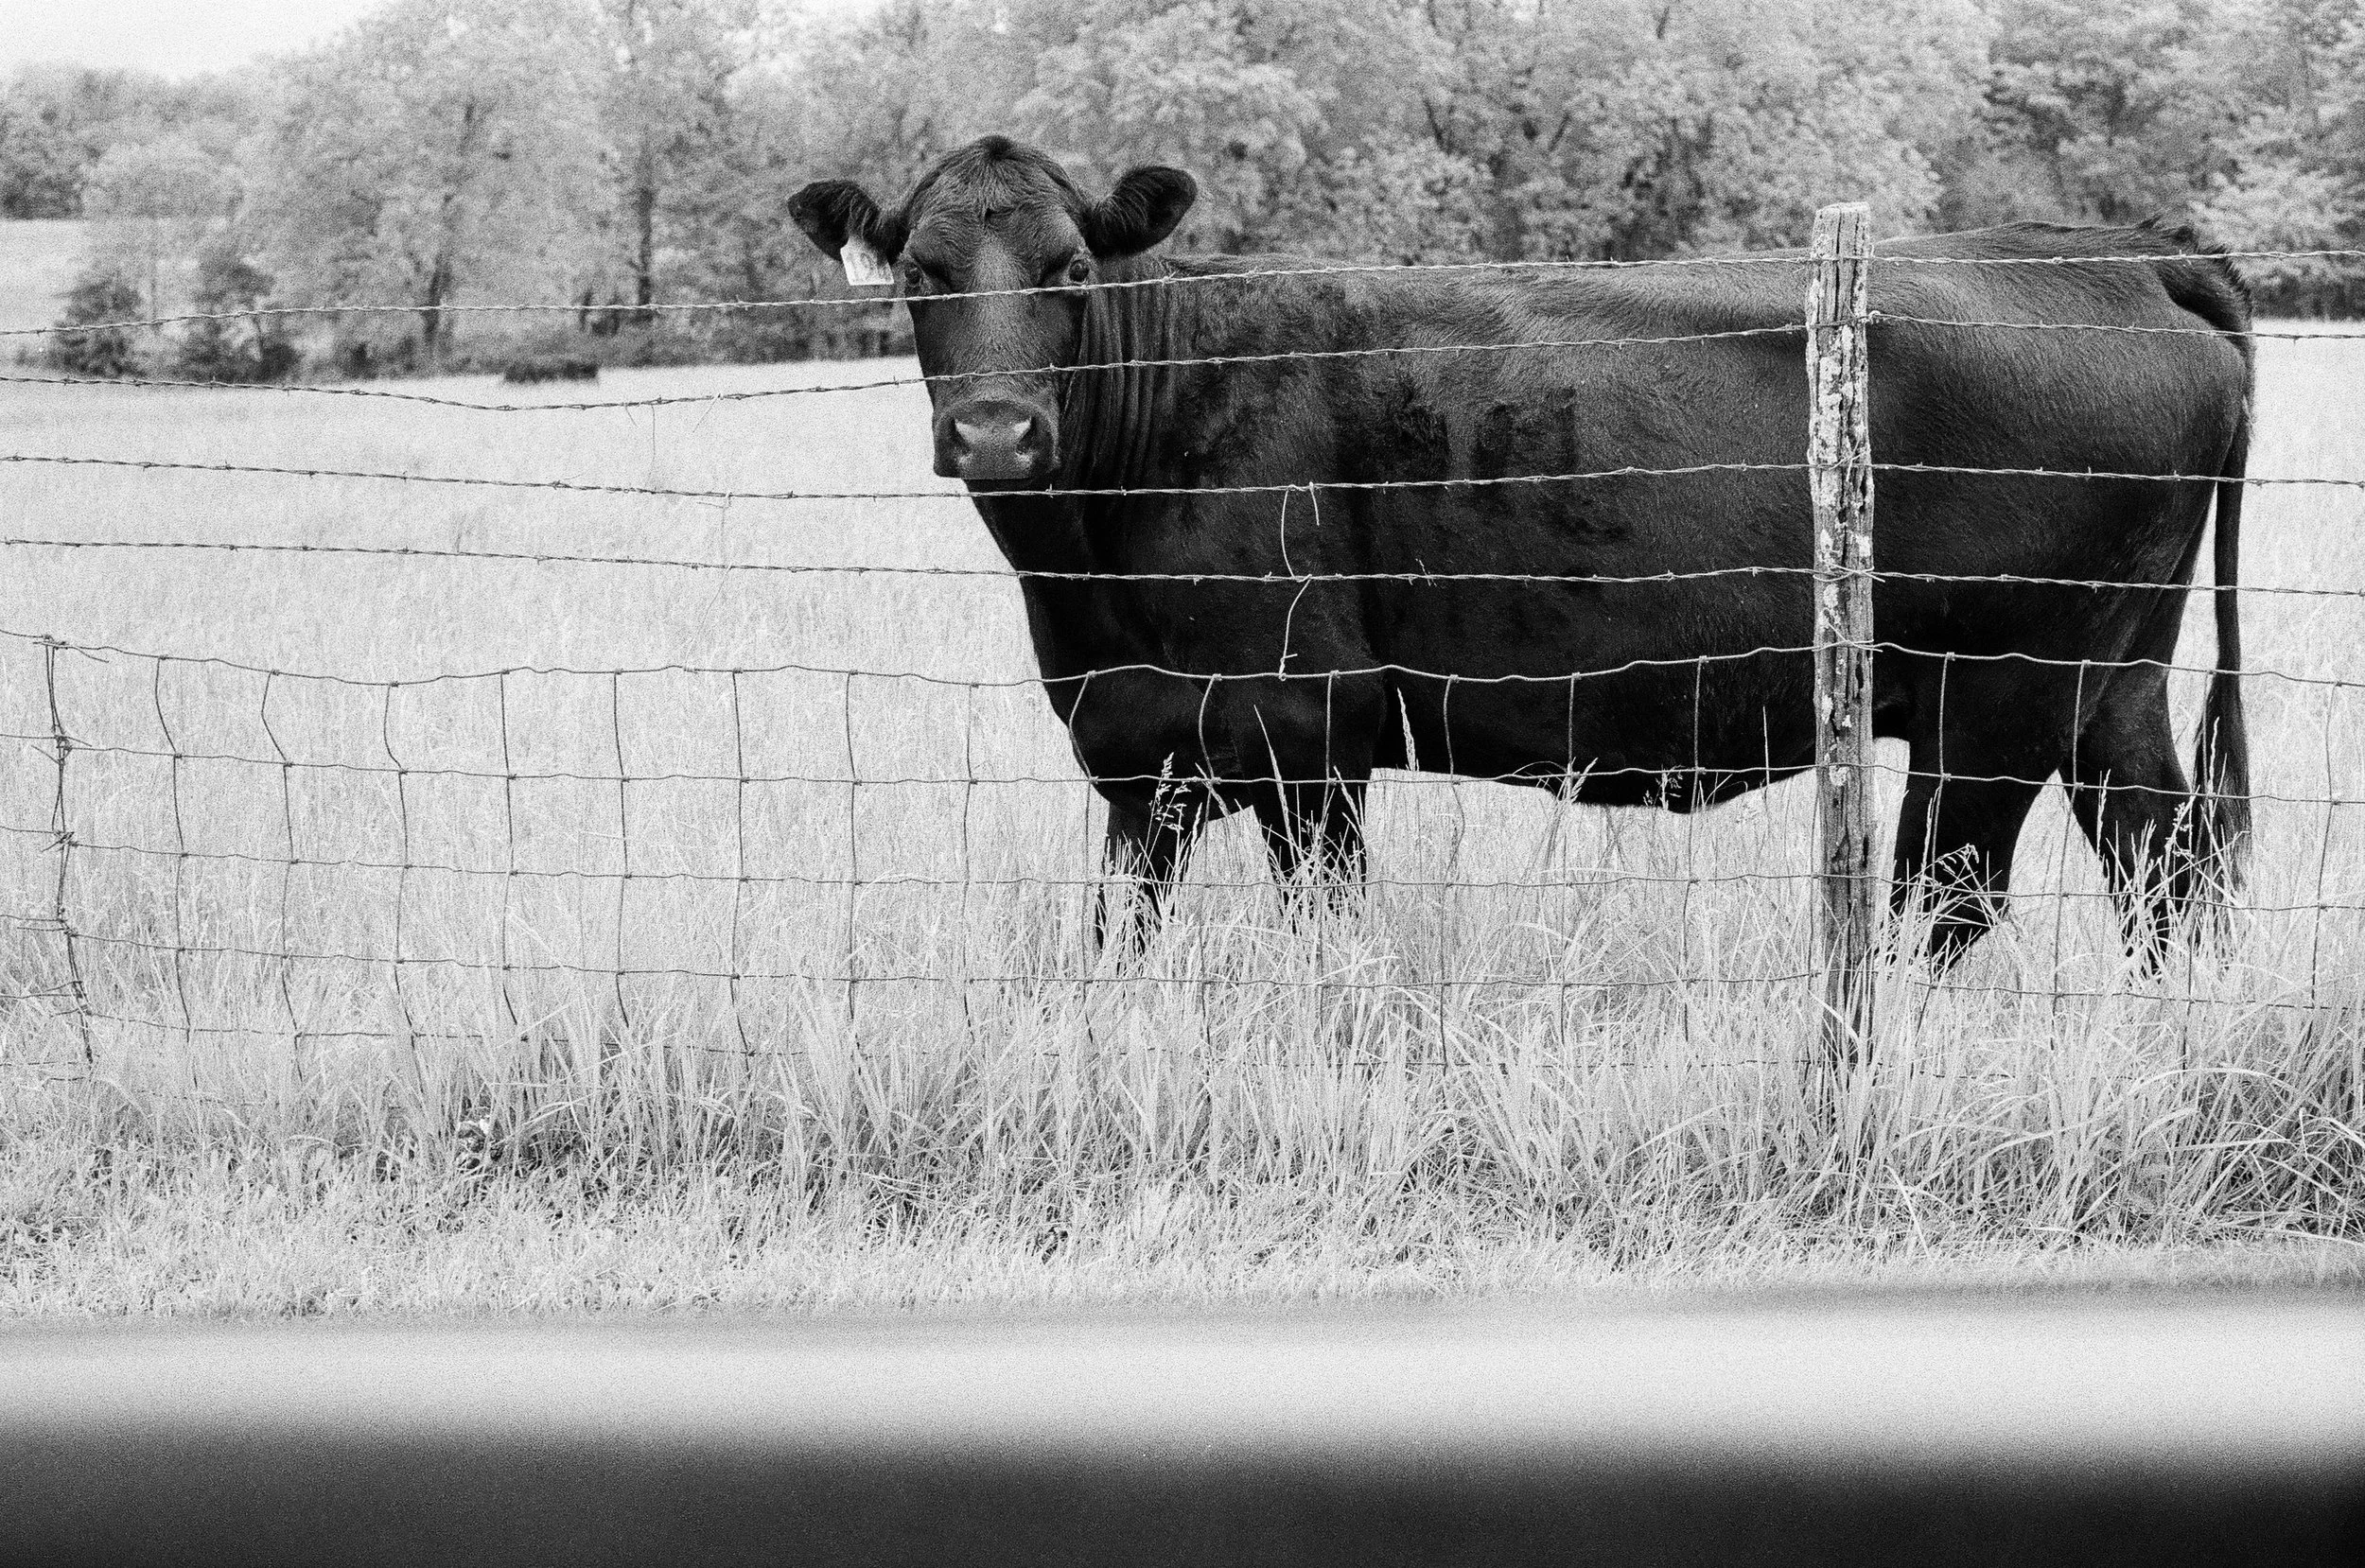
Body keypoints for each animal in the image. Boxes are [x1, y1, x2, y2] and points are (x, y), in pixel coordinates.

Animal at [788, 136, 2251, 963]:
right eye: (918, 273)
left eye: (1073, 271)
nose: (995, 431)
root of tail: (2124, 255)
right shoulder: (1132, 742)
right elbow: (1121, 938)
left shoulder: (1307, 725)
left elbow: (1329, 931)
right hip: (2112, 678)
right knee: (2163, 866)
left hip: (1998, 691)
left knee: (1950, 899)